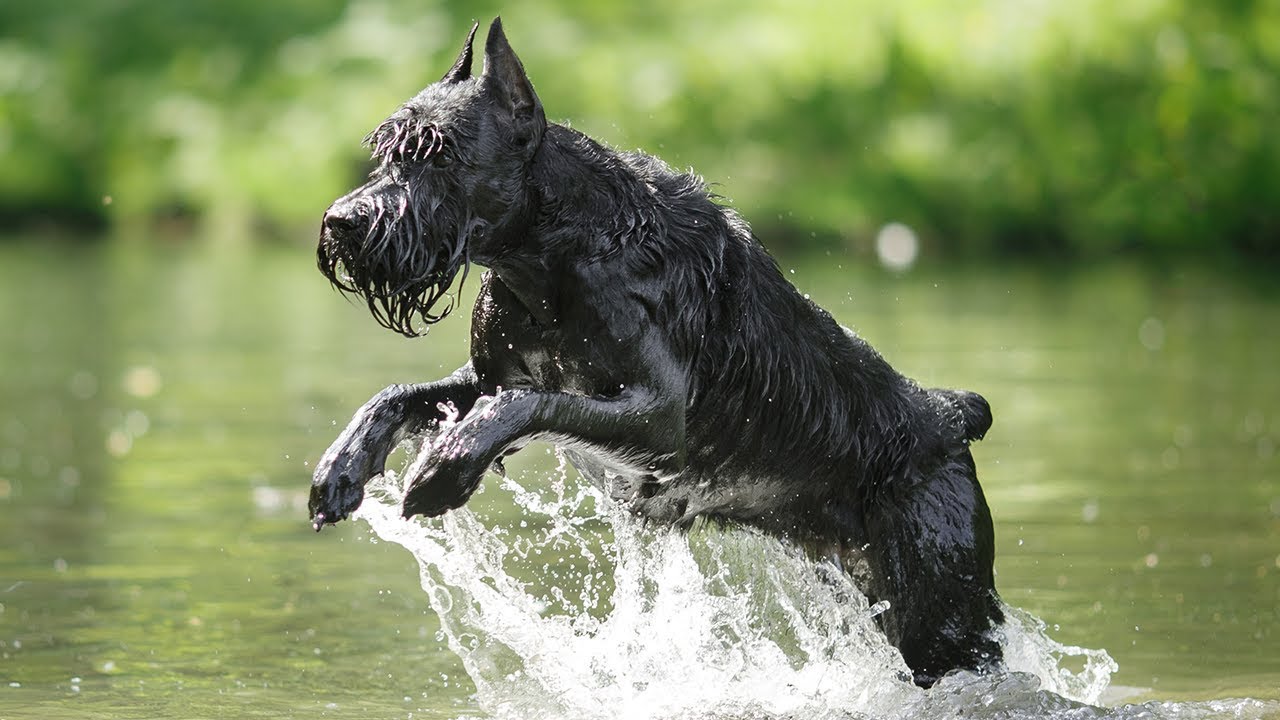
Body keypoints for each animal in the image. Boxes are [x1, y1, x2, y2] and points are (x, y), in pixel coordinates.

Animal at [307, 19, 998, 686]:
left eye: (438, 153)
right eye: (385, 152)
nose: (342, 221)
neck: (551, 258)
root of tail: (948, 414)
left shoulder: (659, 421)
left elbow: (528, 406)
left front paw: (445, 467)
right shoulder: (490, 375)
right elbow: (400, 396)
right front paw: (342, 467)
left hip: (940, 614)